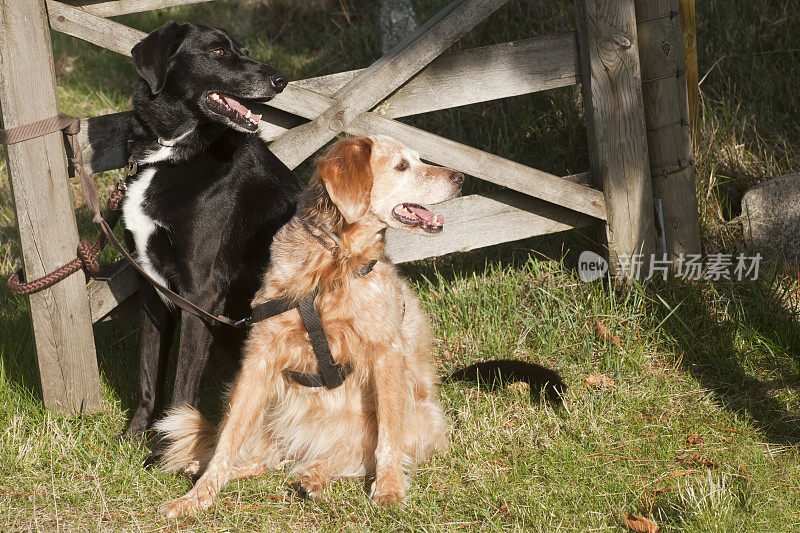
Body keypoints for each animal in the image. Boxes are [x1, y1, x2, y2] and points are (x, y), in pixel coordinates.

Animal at [121, 20, 304, 436]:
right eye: (219, 52)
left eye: (245, 51)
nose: (281, 80)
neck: (171, 153)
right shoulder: (150, 285)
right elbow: (147, 372)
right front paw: (135, 436)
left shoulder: (201, 293)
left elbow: (182, 389)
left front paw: (169, 445)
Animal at [155, 134, 462, 516]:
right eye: (402, 165)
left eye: (417, 160)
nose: (460, 178)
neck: (333, 264)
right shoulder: (260, 358)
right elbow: (228, 439)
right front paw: (198, 495)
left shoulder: (385, 352)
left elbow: (388, 438)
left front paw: (389, 488)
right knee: (270, 458)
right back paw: (212, 467)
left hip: (420, 415)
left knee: (349, 457)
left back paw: (315, 476)